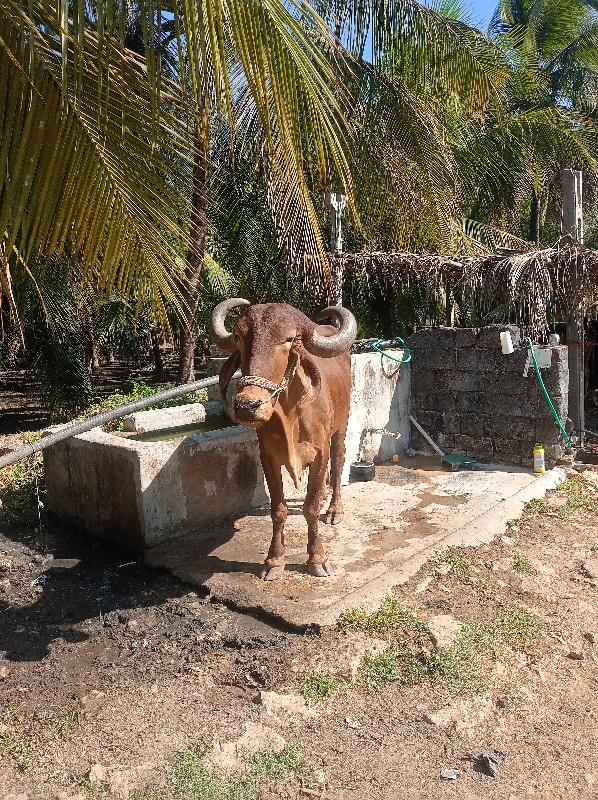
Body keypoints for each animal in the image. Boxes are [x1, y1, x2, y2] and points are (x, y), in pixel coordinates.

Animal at [211, 300, 356, 580]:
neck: (291, 414)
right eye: (239, 337)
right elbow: (278, 509)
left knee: (338, 460)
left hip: (341, 426)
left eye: (288, 339)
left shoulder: (319, 452)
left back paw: (334, 509)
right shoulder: (267, 456)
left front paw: (317, 558)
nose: (247, 406)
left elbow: (311, 507)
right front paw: (274, 560)